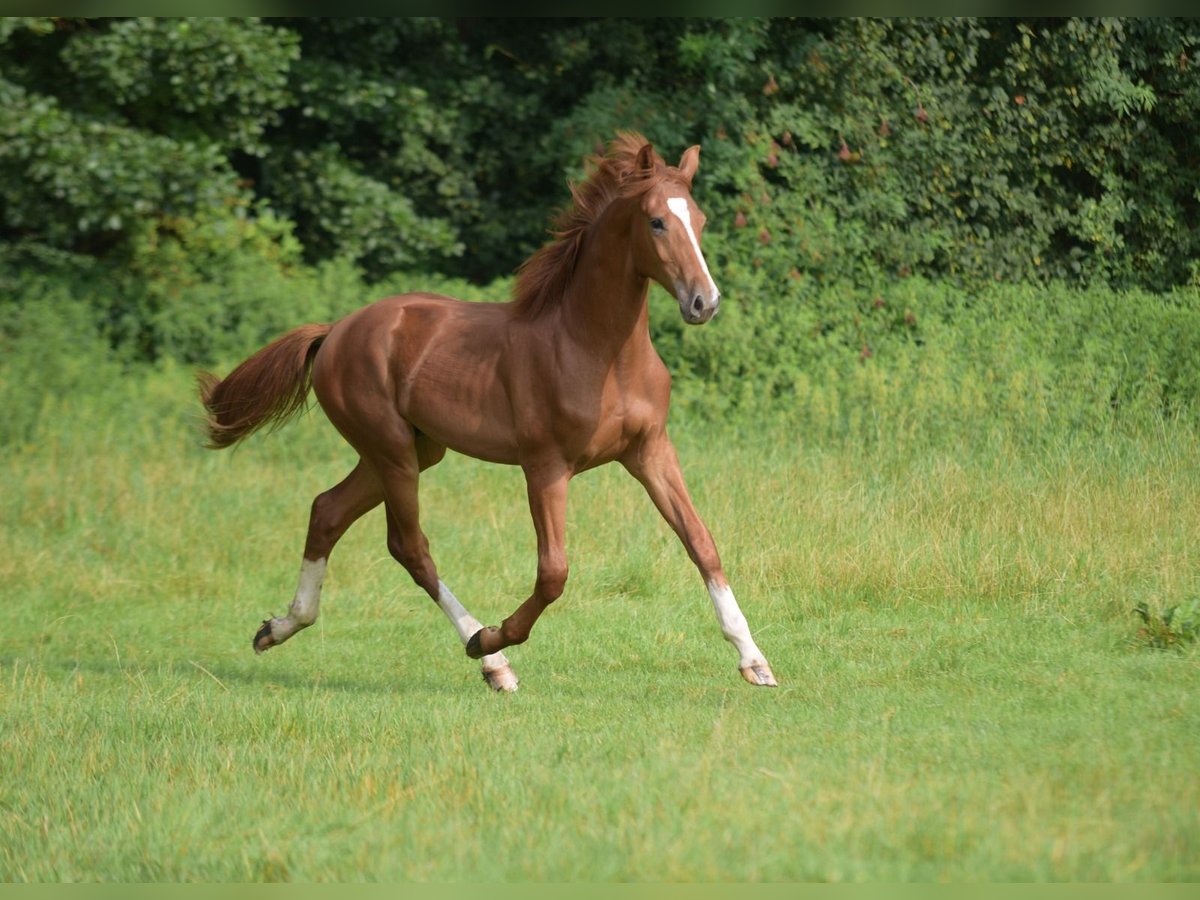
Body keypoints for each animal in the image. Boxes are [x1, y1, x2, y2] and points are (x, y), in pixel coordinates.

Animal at [196, 133, 777, 696]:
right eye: (657, 221)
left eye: (699, 220)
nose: (705, 302)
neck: (596, 351)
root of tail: (335, 331)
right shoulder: (544, 467)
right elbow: (554, 572)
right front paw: (493, 638)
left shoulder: (650, 451)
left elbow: (702, 543)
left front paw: (755, 661)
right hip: (391, 451)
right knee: (410, 547)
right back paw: (490, 658)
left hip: (413, 450)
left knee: (327, 511)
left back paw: (278, 628)